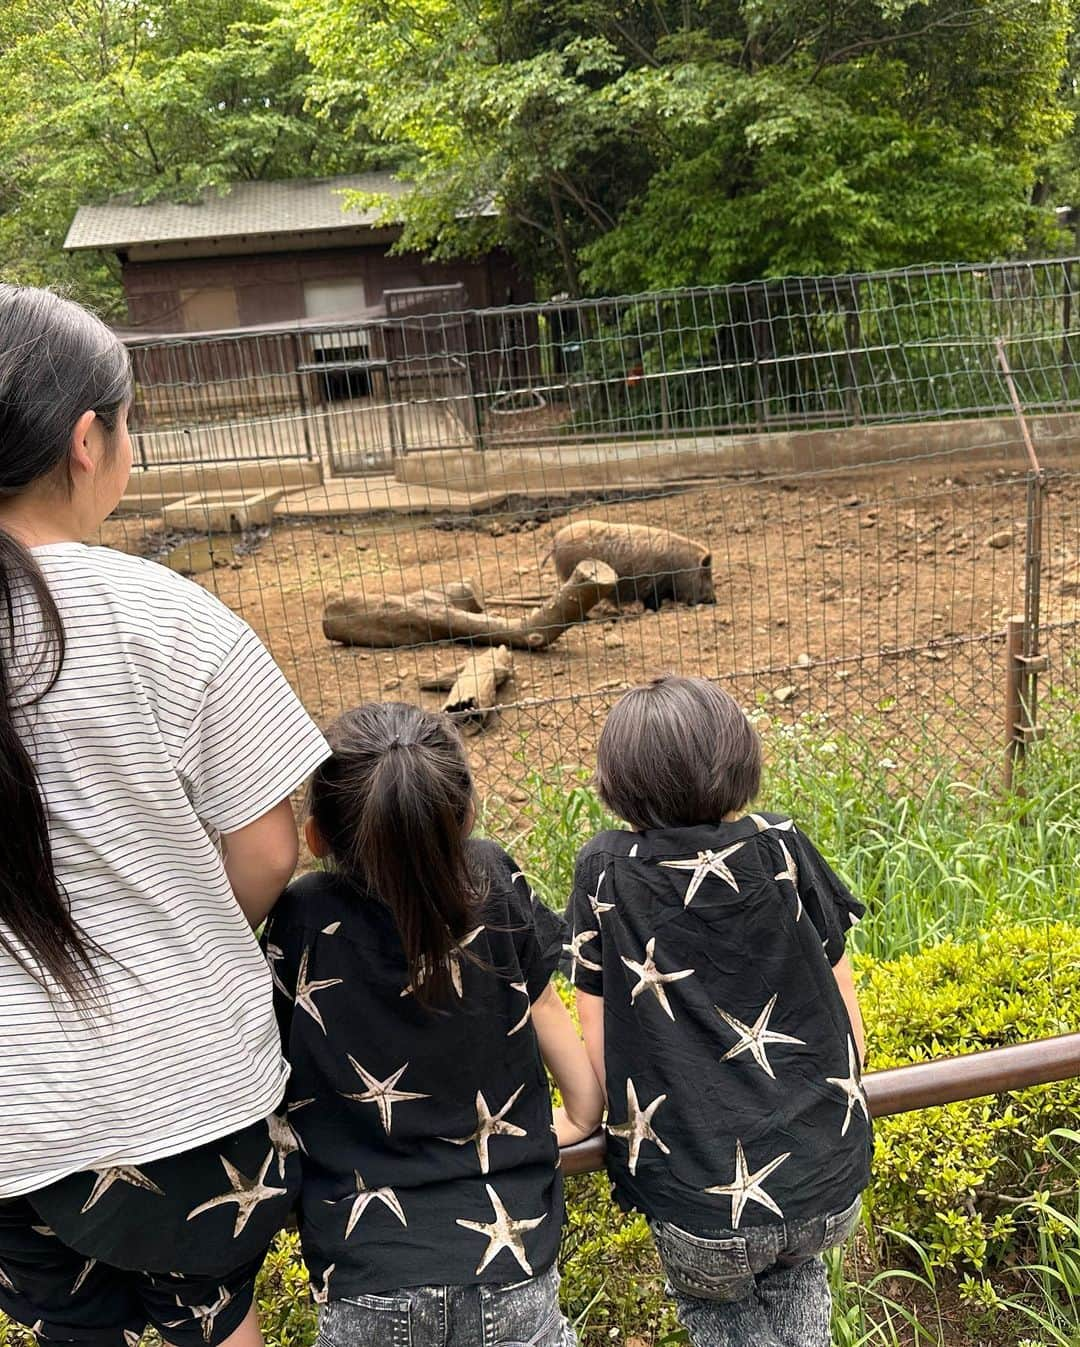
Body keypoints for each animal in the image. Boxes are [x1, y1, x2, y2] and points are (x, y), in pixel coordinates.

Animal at [544, 519, 711, 611]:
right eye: (705, 575)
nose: (713, 600)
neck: (680, 567)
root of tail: (555, 539)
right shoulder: (654, 585)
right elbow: (652, 604)